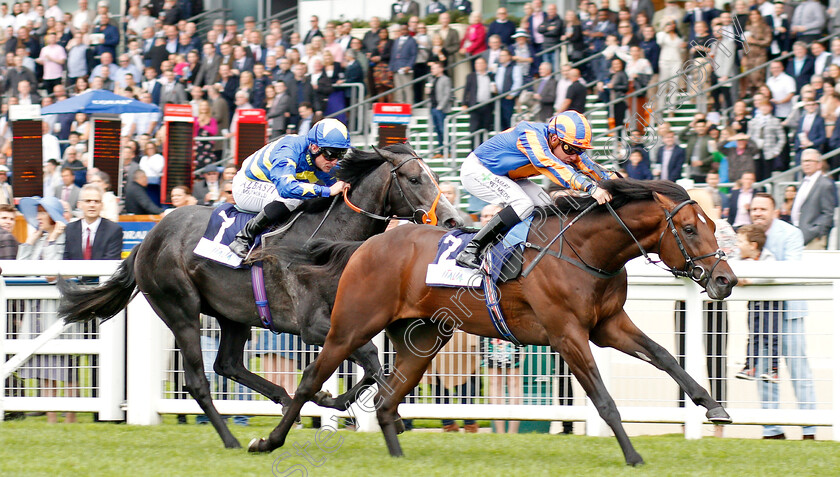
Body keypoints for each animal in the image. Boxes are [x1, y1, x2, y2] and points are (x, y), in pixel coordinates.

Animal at [57, 144, 466, 446]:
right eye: (414, 178)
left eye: (434, 178)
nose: (453, 220)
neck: (329, 238)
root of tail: (145, 241)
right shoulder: (313, 325)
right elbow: (369, 360)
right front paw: (343, 403)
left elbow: (372, 365)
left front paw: (343, 404)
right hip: (180, 308)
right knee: (199, 381)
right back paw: (232, 439)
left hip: (233, 315)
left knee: (228, 365)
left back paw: (281, 400)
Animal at [248, 178, 736, 464]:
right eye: (689, 229)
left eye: (715, 224)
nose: (725, 280)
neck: (584, 251)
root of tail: (366, 245)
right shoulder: (567, 335)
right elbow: (604, 399)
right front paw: (633, 455)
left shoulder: (608, 324)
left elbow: (664, 356)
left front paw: (713, 405)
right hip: (351, 325)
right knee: (310, 379)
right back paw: (268, 441)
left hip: (421, 340)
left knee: (387, 399)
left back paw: (398, 457)